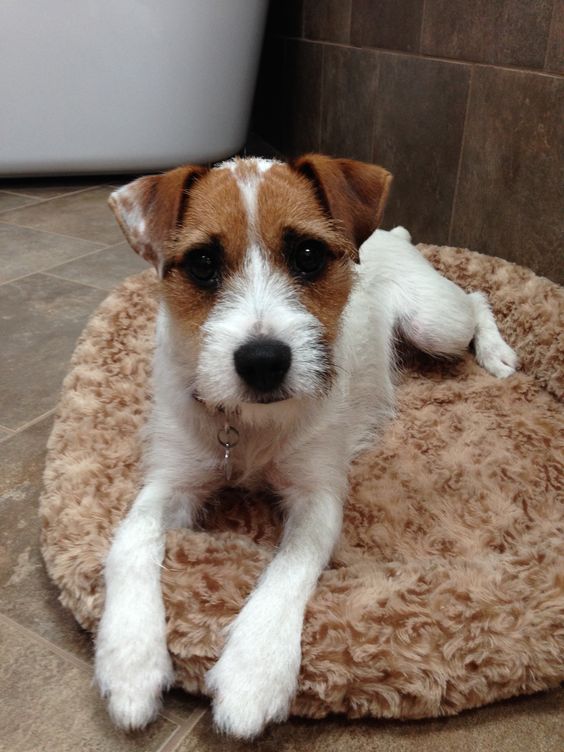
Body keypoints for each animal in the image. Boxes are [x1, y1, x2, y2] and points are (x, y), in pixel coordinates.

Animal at [94, 153, 516, 736]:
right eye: (202, 263)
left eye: (309, 256)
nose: (263, 361)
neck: (249, 427)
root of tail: (391, 233)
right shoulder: (169, 482)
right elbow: (129, 540)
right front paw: (130, 661)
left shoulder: (317, 497)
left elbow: (290, 565)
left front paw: (253, 674)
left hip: (435, 323)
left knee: (474, 300)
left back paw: (497, 354)